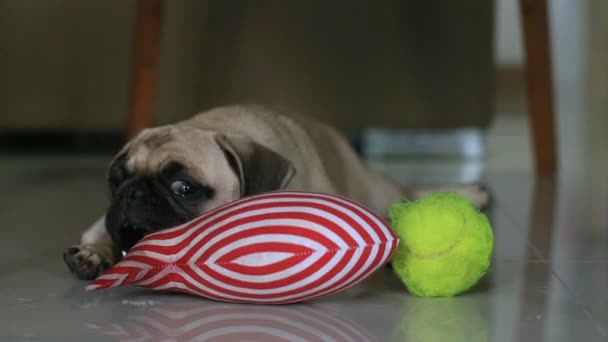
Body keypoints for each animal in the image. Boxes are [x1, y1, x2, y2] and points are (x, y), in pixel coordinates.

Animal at [63, 105, 490, 280]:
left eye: (184, 187)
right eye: (117, 180)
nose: (131, 195)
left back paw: (471, 193)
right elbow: (100, 232)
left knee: (409, 195)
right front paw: (93, 253)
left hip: (379, 192)